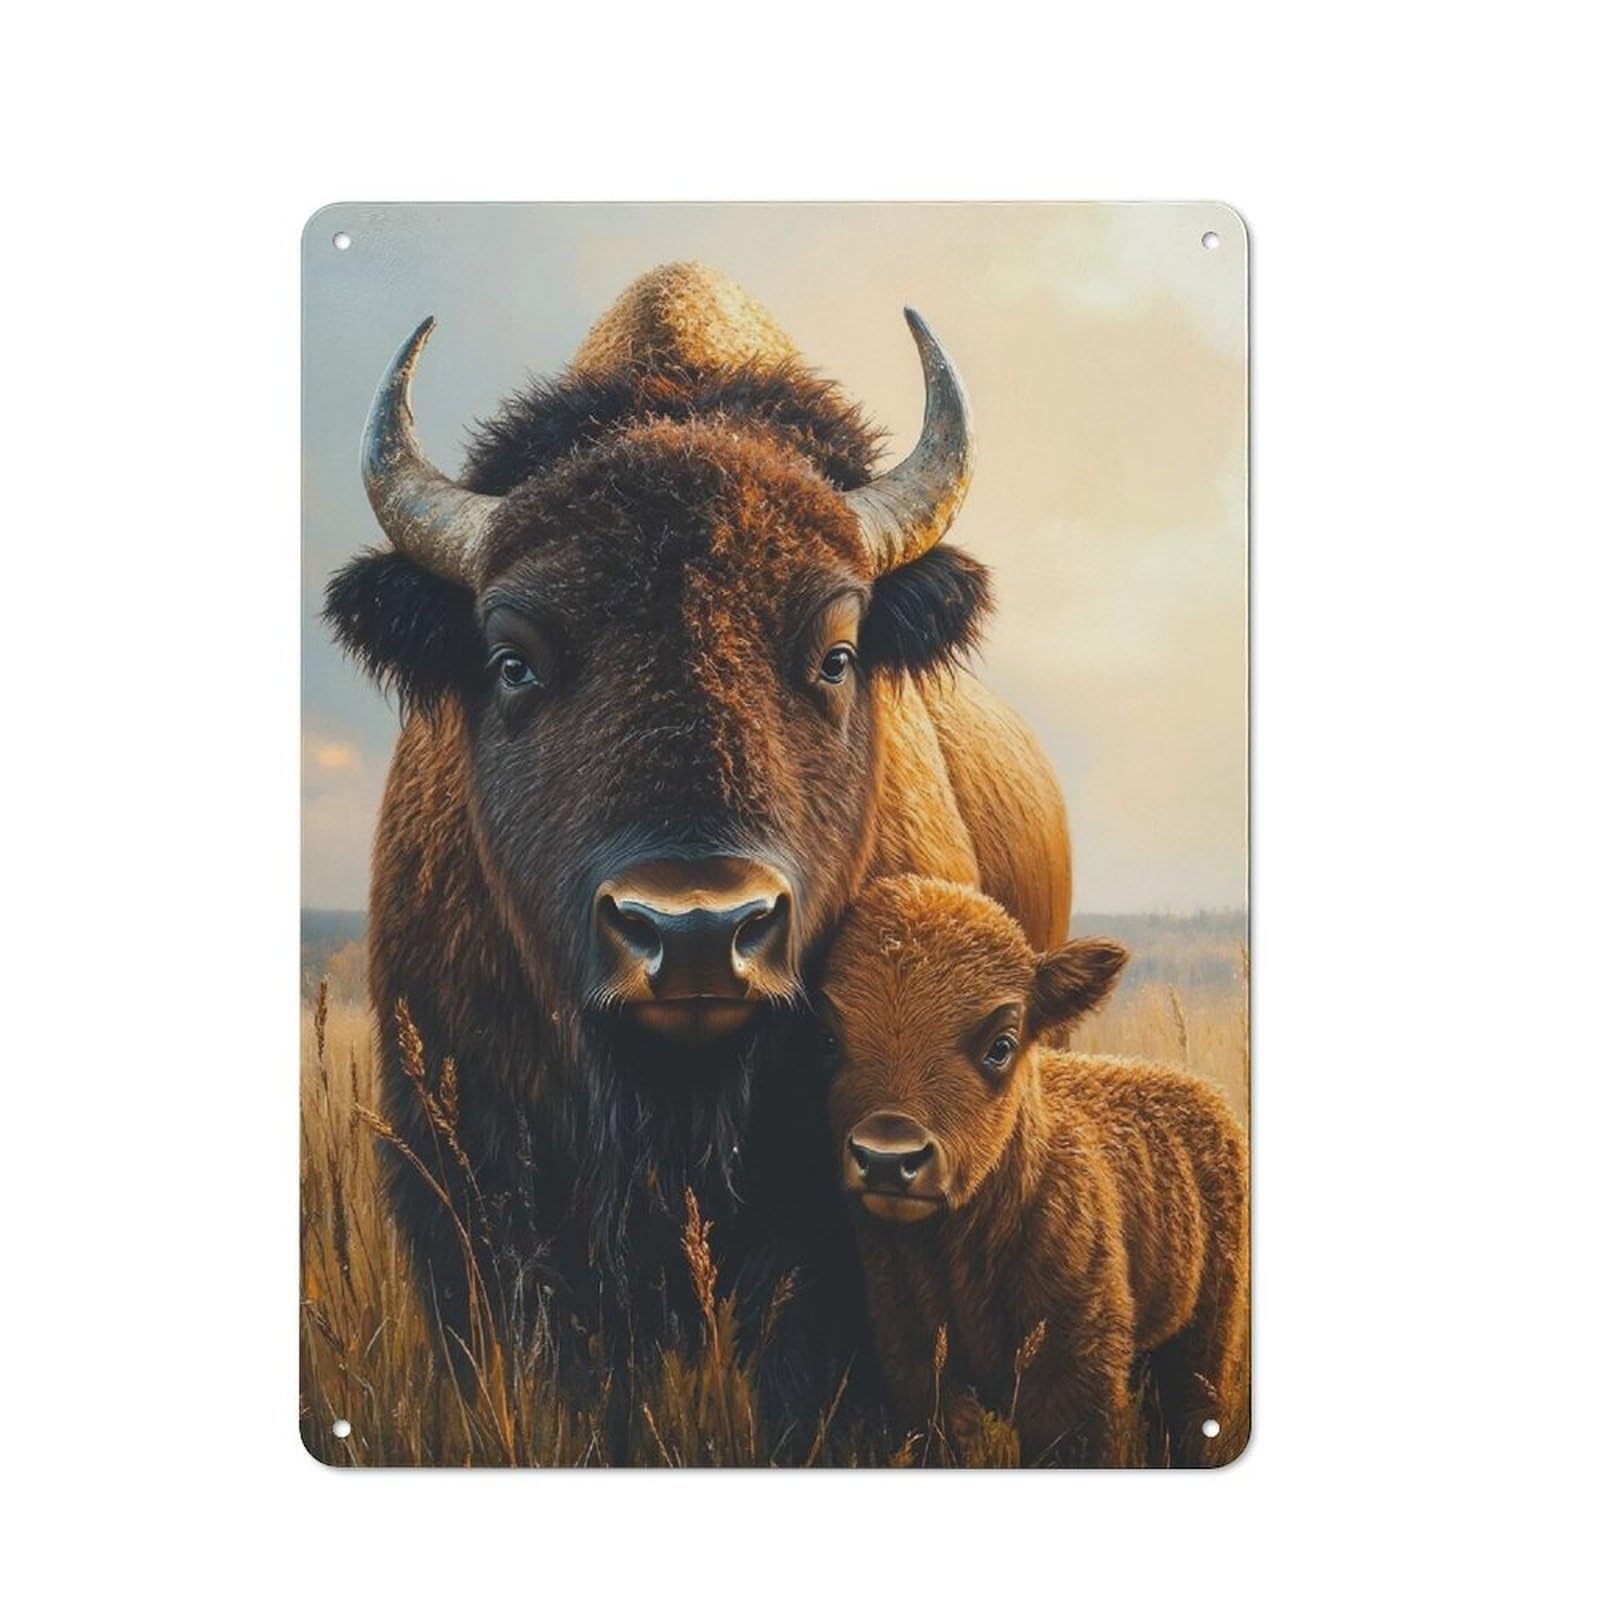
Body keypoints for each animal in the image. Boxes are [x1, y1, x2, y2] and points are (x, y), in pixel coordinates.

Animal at [818, 875, 1248, 1465]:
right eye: (829, 1039)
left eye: (1001, 1045)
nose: (887, 1155)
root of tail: (1208, 1097)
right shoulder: (919, 1372)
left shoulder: (1071, 1390)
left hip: (1200, 1343)